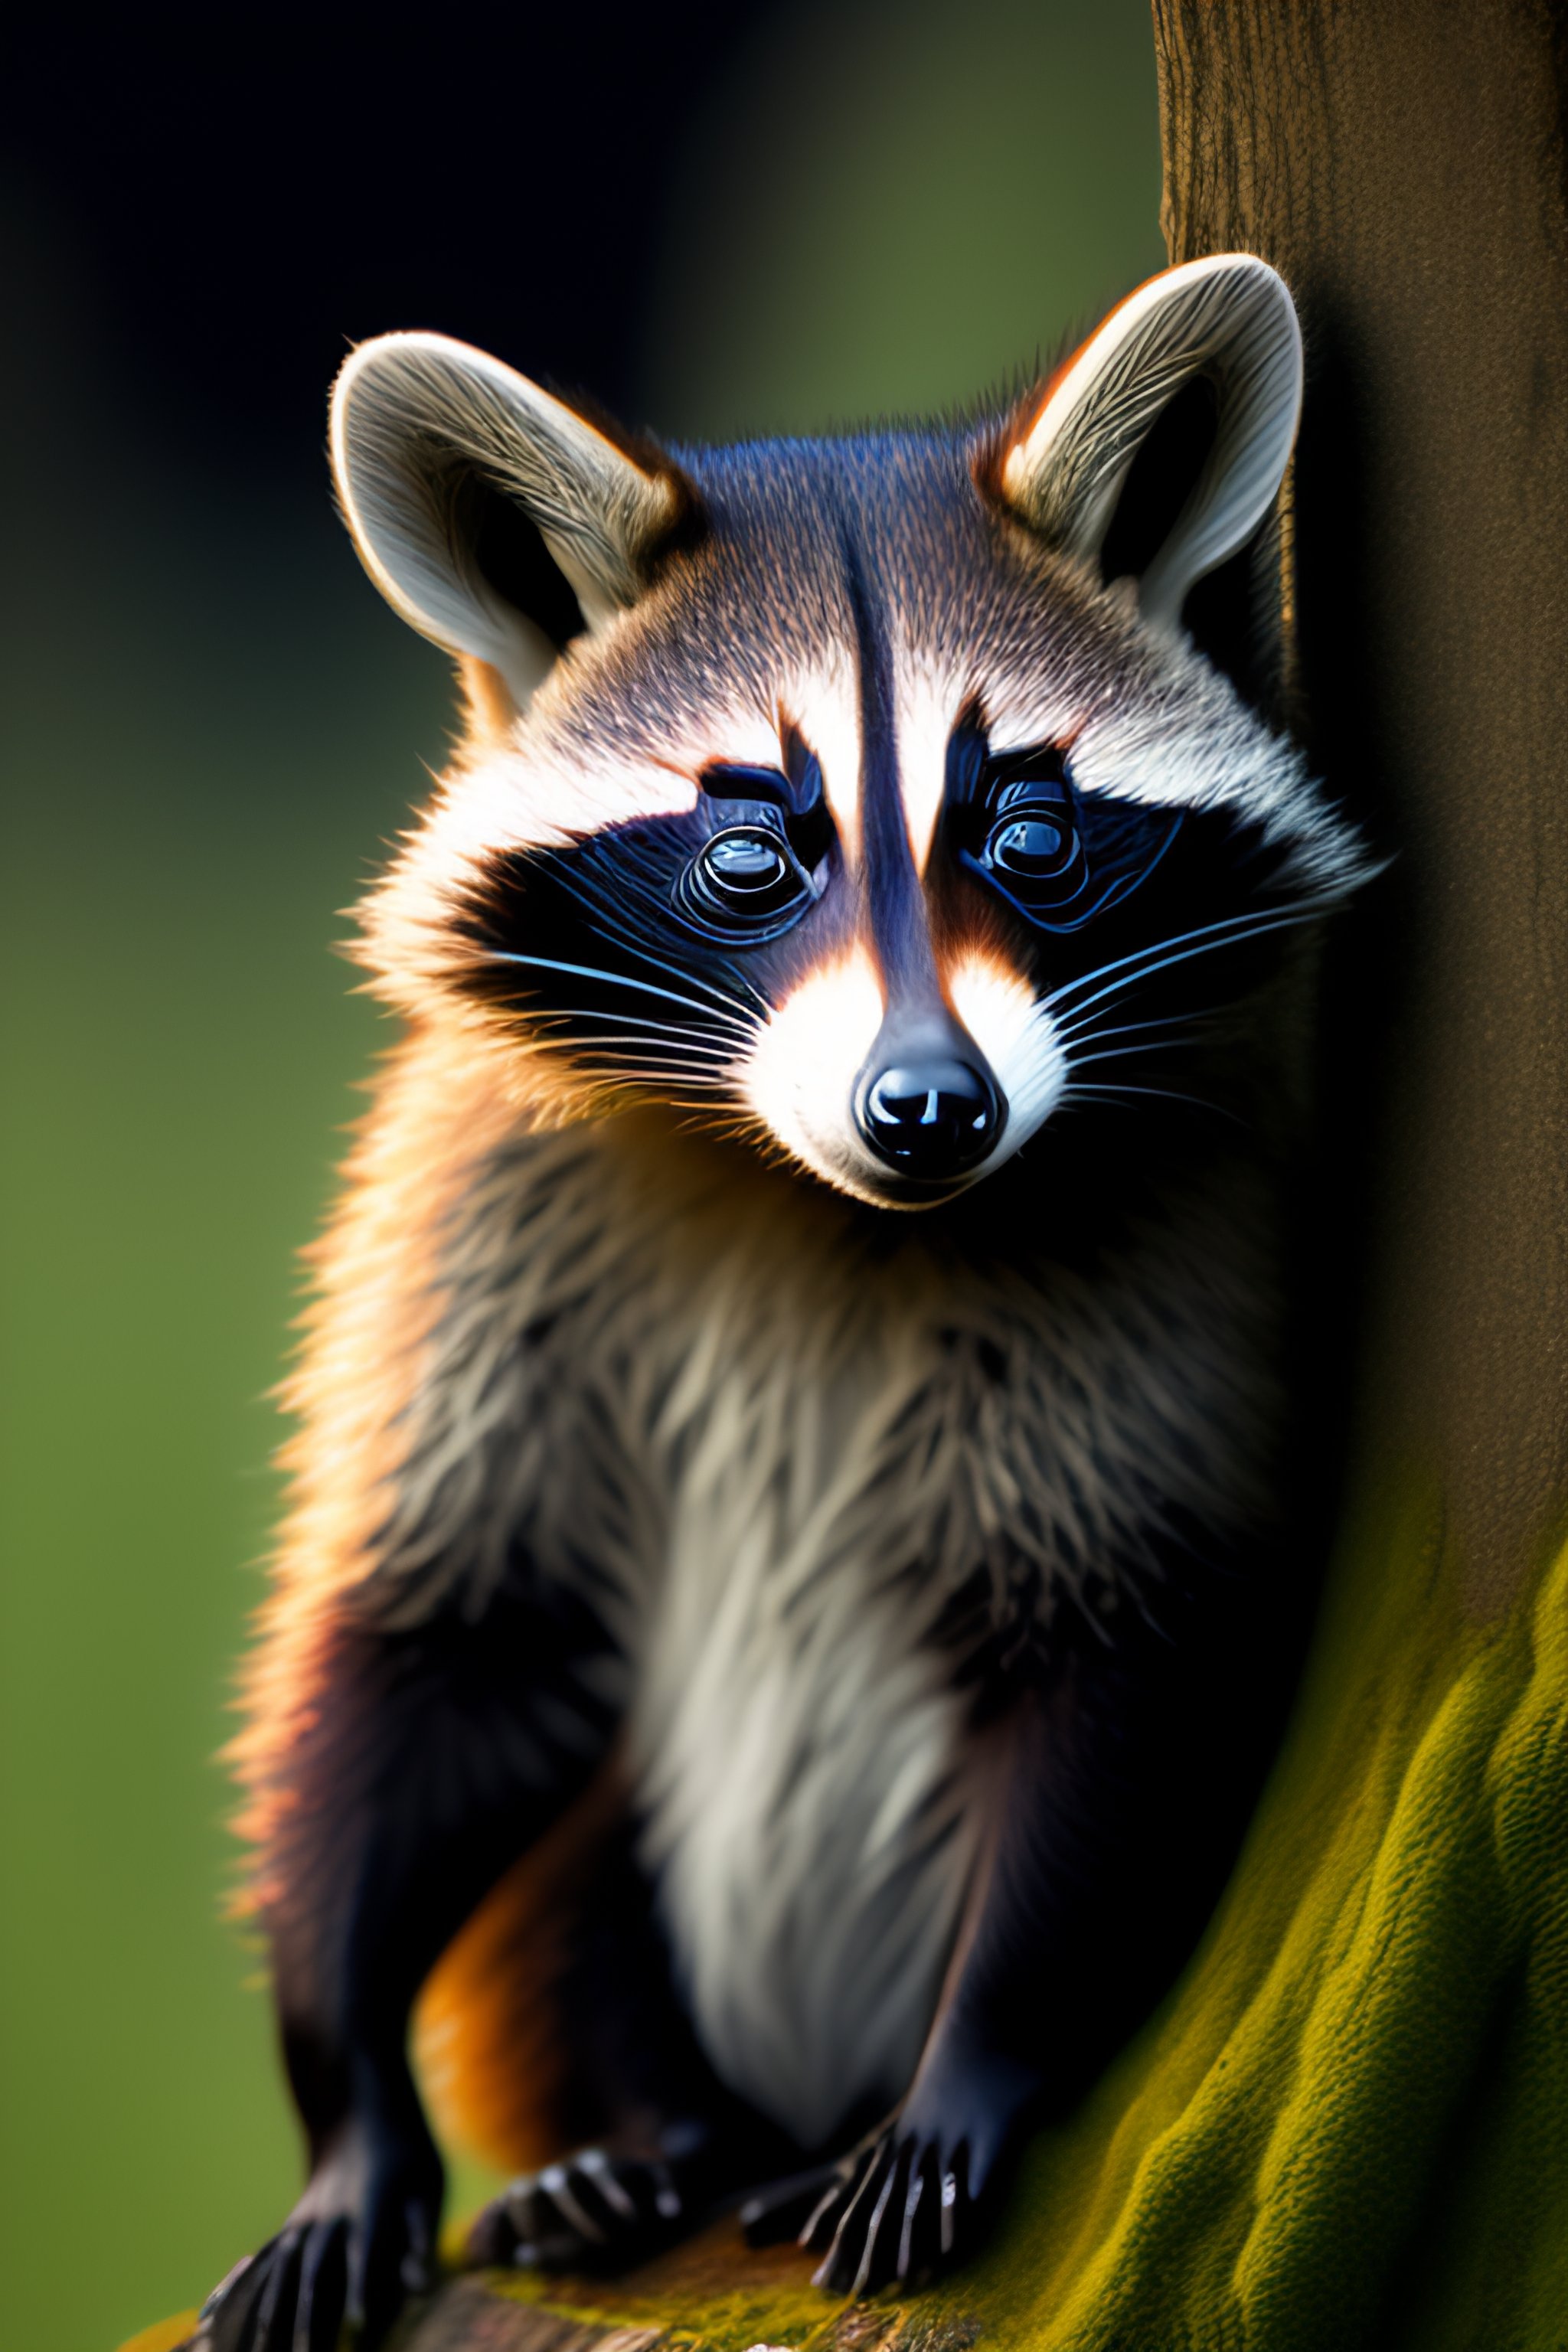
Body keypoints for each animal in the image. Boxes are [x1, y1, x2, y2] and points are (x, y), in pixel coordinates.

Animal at [193, 257, 1369, 2352]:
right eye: (750, 854)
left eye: (1029, 836)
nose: (931, 1107)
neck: (810, 1187)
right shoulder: (475, 1222)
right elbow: (440, 1639)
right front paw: (342, 2099)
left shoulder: (1164, 1248)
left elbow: (1122, 1663)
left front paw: (981, 2058)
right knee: (574, 1869)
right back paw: (646, 2124)